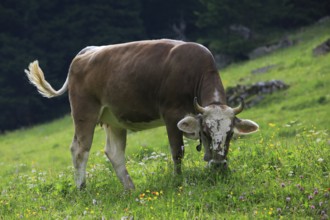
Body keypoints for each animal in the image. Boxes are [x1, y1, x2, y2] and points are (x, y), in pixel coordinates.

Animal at [25, 39, 258, 189]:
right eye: (208, 132)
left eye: (230, 134)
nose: (220, 165)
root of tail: (85, 52)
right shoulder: (172, 114)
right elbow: (177, 151)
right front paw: (178, 180)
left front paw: (217, 168)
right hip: (84, 112)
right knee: (80, 149)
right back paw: (82, 188)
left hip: (114, 119)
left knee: (114, 152)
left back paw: (130, 189)